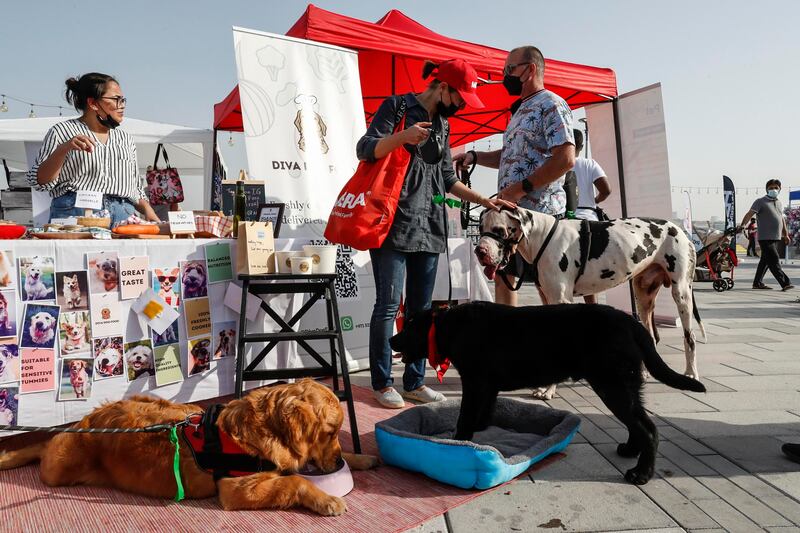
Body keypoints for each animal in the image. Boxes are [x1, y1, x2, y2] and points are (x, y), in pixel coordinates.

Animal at [390, 302, 708, 484]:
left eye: (409, 327)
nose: (392, 340)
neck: (449, 326)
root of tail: (632, 322)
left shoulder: (474, 381)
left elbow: (466, 417)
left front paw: (460, 440)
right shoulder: (488, 385)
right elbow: (485, 411)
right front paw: (480, 429)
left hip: (613, 384)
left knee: (648, 428)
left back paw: (641, 474)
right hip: (623, 385)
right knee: (637, 424)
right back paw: (630, 451)